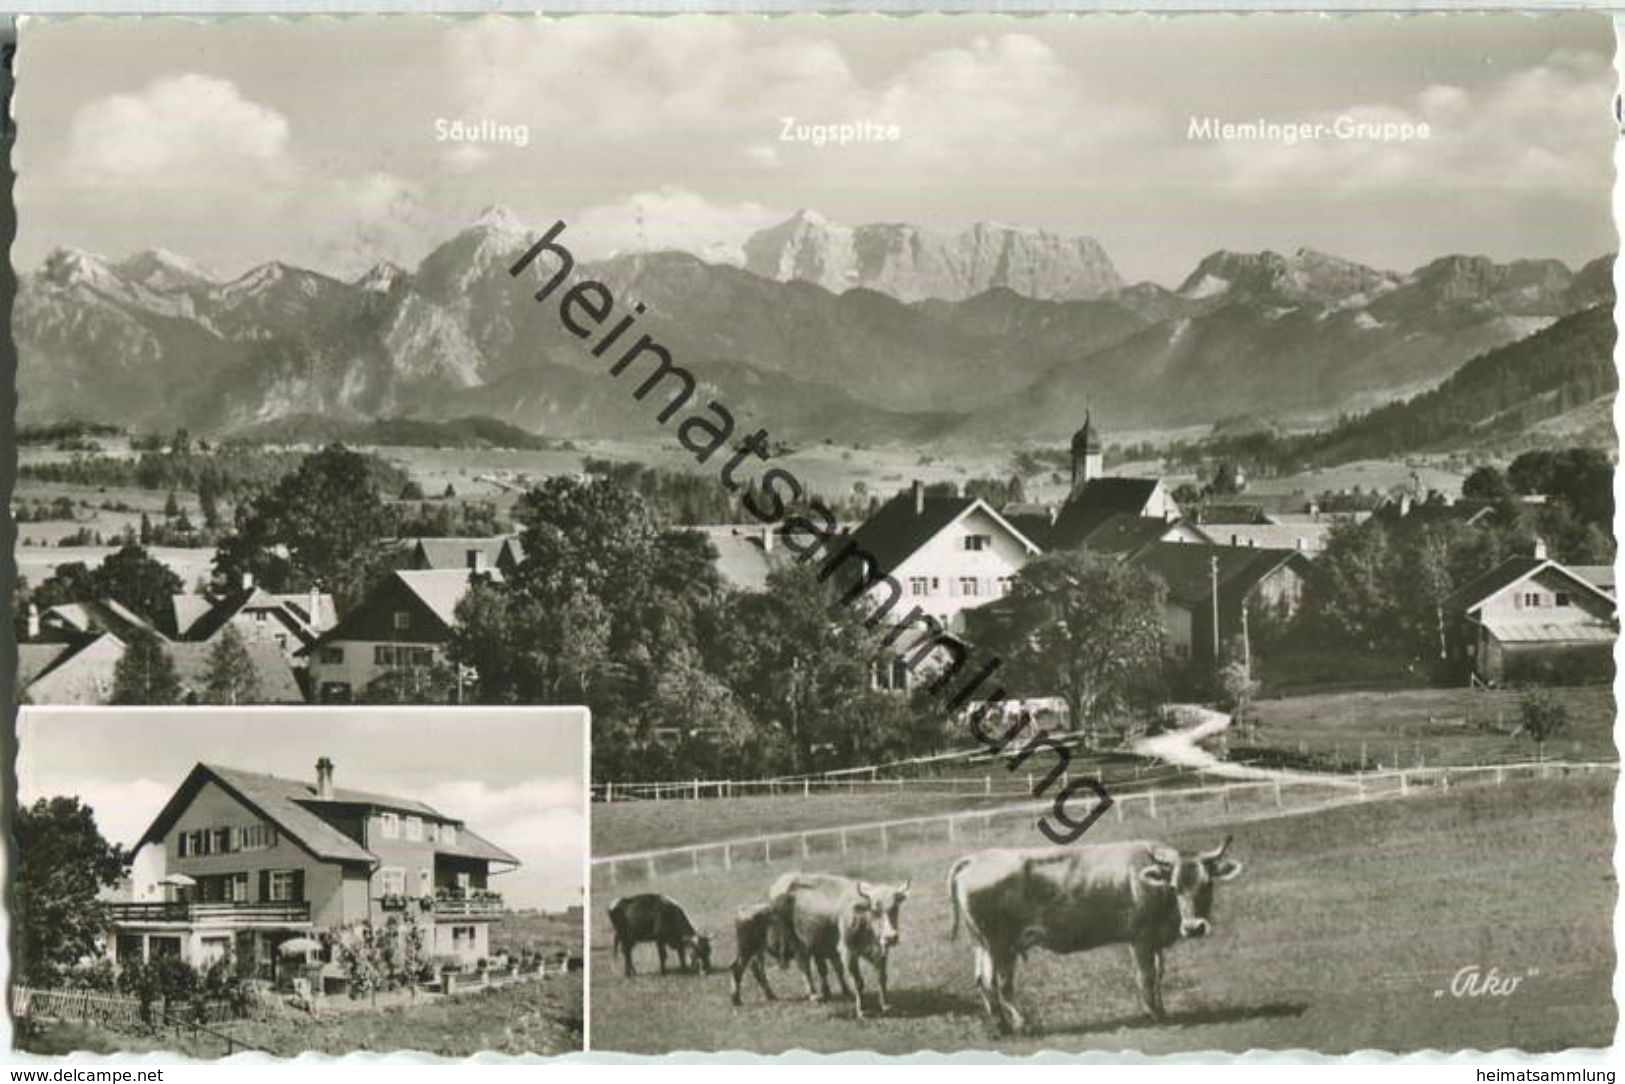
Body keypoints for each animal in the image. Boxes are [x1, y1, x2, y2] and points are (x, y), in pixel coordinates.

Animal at [767, 871, 910, 1020]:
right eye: (875, 911)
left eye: (895, 908)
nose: (891, 937)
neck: (862, 917)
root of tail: (783, 880)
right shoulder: (848, 952)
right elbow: (858, 981)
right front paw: (862, 1010)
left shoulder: (880, 952)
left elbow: (881, 978)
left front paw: (886, 1005)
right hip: (797, 943)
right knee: (805, 968)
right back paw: (814, 995)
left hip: (819, 944)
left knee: (826, 968)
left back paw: (836, 992)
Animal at [949, 838, 1235, 1033]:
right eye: (1175, 886)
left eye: (1207, 884)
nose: (1194, 927)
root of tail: (975, 858)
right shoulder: (1140, 938)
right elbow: (1145, 976)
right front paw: (1153, 1014)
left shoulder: (1155, 940)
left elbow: (1158, 975)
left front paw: (1162, 1011)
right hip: (1001, 944)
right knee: (1001, 983)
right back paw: (1022, 1024)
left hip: (982, 944)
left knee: (983, 981)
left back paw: (1002, 1026)